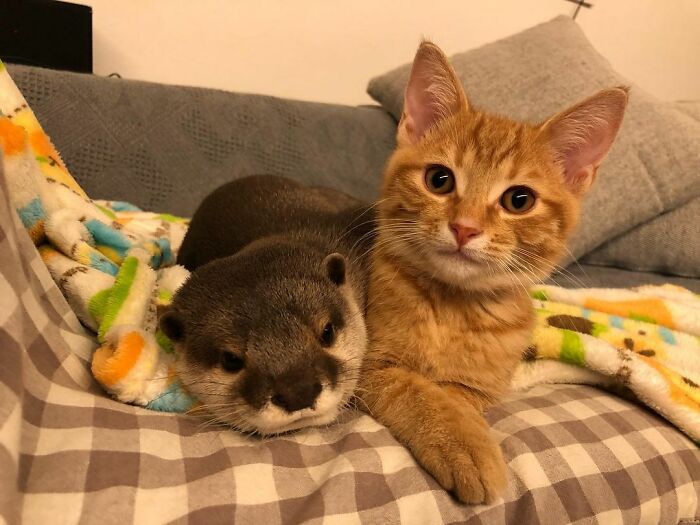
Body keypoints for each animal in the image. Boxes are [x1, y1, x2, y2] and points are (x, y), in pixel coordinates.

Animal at [358, 42, 628, 504]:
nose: (465, 227)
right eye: (439, 179)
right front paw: (461, 442)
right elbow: (415, 389)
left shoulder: (480, 389)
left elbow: (454, 396)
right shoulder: (369, 366)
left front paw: (464, 434)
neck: (453, 307)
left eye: (519, 200)